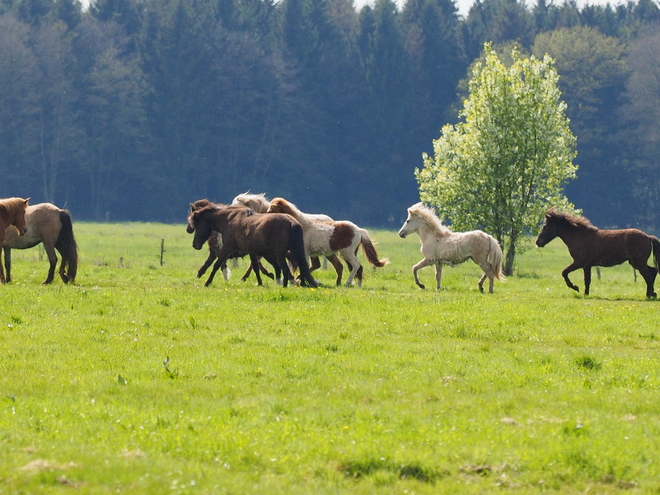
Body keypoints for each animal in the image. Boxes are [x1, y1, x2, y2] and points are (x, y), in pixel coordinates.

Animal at [187, 203, 318, 288]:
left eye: (196, 225)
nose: (194, 244)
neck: (229, 219)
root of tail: (292, 222)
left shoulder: (227, 249)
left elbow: (216, 265)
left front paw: (207, 282)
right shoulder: (252, 252)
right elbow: (255, 267)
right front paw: (259, 283)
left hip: (279, 254)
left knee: (284, 268)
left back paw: (285, 286)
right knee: (298, 267)